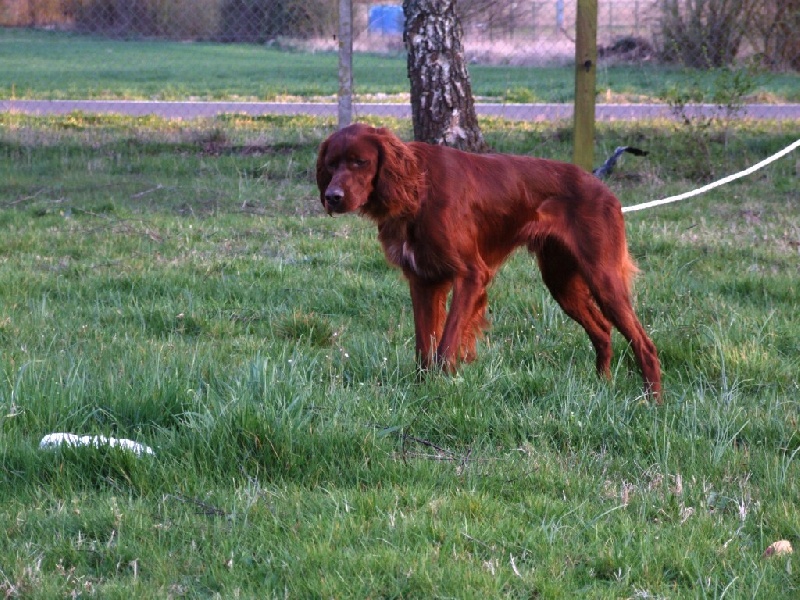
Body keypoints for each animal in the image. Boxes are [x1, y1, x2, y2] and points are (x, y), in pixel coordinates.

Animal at [316, 123, 660, 398]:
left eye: (360, 162)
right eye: (331, 164)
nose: (332, 197)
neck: (417, 188)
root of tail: (600, 185)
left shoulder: (471, 275)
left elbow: (446, 344)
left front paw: (441, 387)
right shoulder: (424, 281)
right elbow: (423, 349)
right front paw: (422, 390)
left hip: (603, 278)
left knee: (643, 343)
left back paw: (651, 402)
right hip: (561, 282)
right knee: (602, 331)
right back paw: (603, 386)